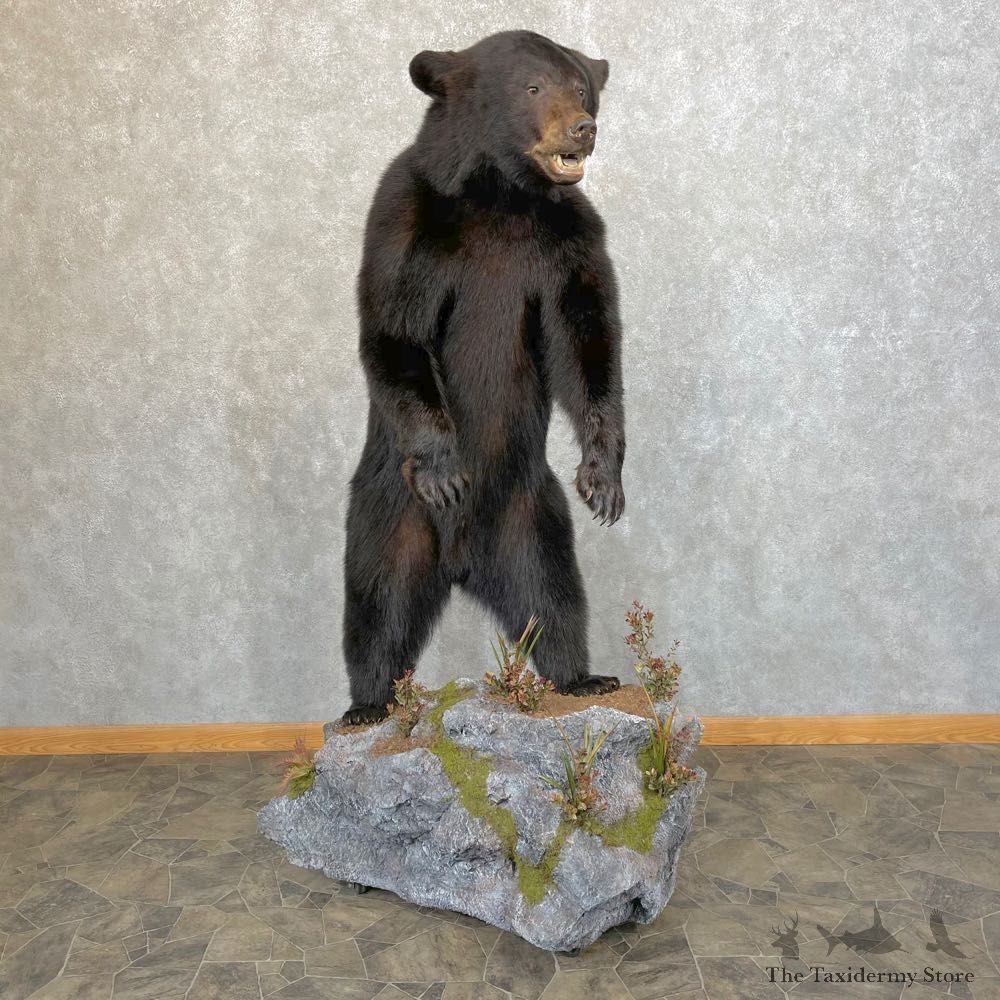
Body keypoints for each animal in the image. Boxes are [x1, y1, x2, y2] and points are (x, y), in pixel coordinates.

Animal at [340, 30, 626, 726]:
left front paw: (603, 478)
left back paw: (582, 677)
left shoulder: (566, 240)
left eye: (581, 86)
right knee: (378, 606)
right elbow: (396, 331)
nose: (583, 127)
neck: (500, 194)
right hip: (390, 513)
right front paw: (446, 469)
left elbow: (587, 341)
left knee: (555, 599)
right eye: (532, 86)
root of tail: (460, 561)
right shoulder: (407, 219)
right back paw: (368, 704)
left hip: (531, 515)